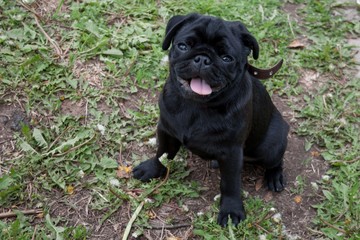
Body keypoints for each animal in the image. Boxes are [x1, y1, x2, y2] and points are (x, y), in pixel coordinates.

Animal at [132, 13, 290, 227]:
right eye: (183, 46)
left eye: (226, 58)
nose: (203, 59)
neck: (196, 106)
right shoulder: (166, 130)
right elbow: (162, 152)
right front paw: (152, 169)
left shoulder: (231, 153)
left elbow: (230, 184)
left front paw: (231, 210)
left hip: (270, 147)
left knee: (275, 160)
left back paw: (274, 177)